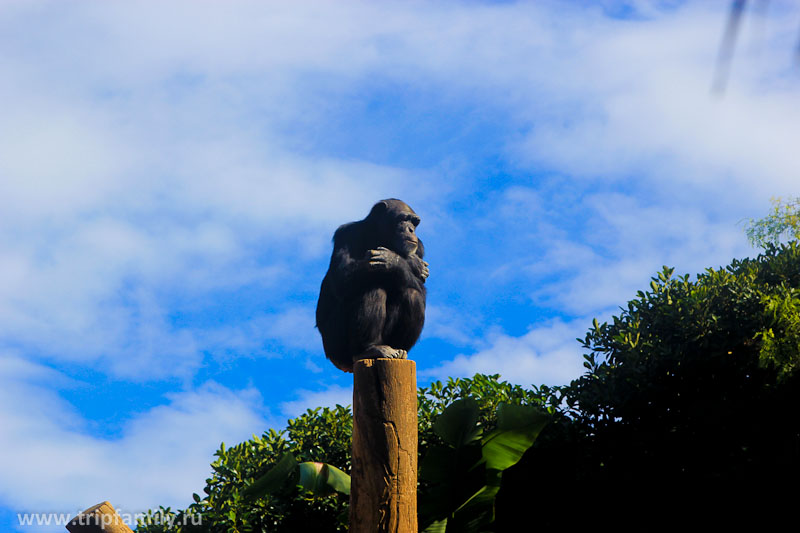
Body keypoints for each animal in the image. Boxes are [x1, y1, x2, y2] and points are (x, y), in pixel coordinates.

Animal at [316, 198, 428, 370]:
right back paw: (370, 348)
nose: (410, 229)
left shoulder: (420, 247)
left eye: (415, 222)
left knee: (412, 294)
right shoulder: (346, 234)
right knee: (372, 289)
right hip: (335, 344)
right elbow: (341, 278)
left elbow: (421, 289)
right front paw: (410, 261)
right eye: (403, 219)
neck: (381, 237)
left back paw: (397, 351)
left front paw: (395, 260)